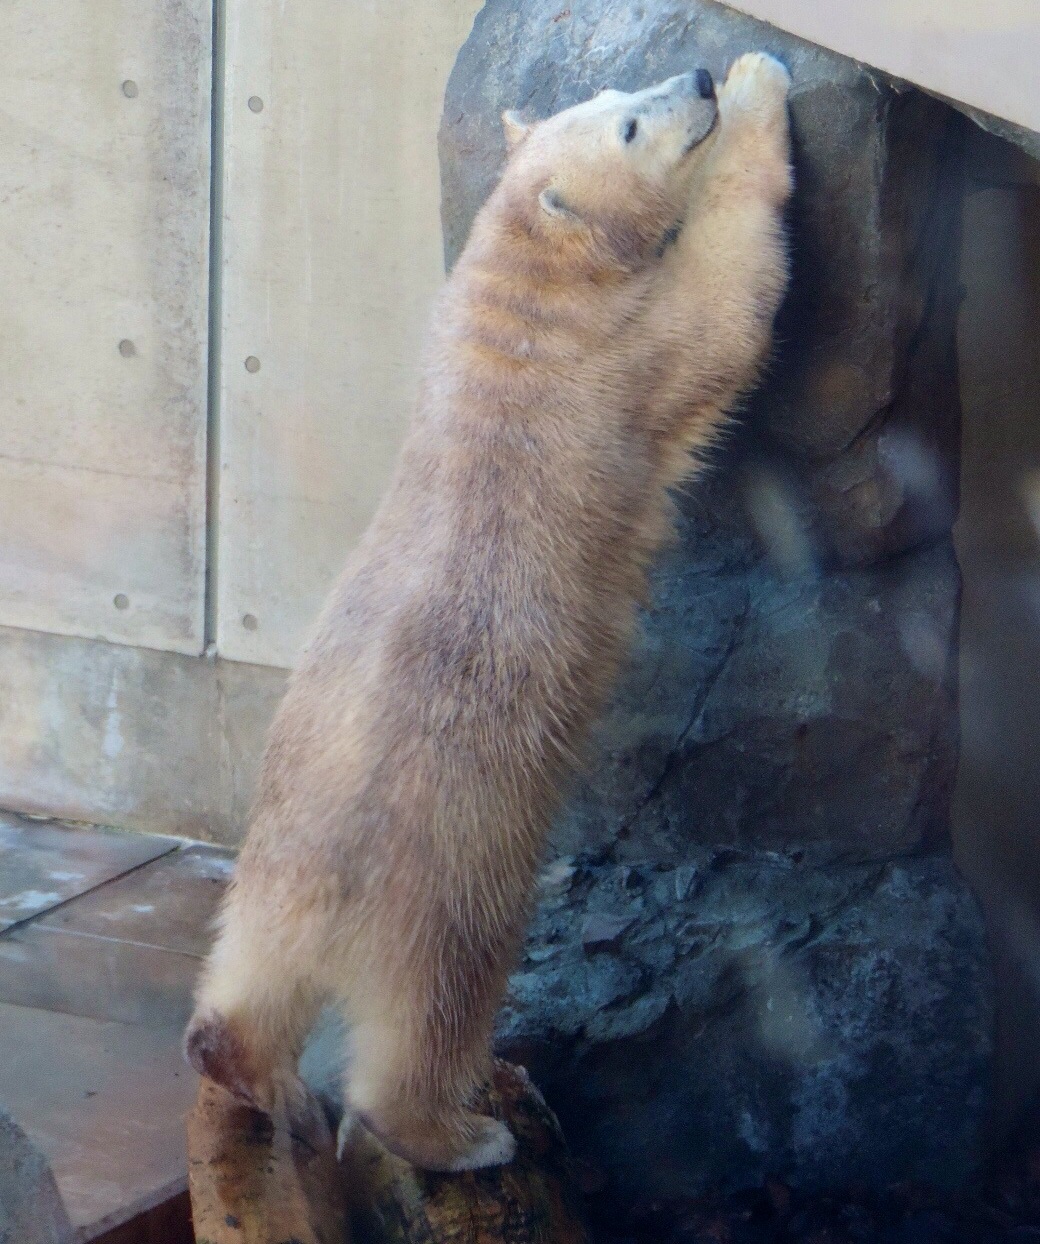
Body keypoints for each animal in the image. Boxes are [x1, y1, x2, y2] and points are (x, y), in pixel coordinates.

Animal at [186, 53, 791, 1169]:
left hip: (271, 854)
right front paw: (755, 84)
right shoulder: (624, 358)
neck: (530, 286)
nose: (692, 74)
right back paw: (465, 1129)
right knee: (437, 1000)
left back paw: (247, 1065)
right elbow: (728, 305)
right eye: (628, 122)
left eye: (620, 91)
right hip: (451, 860)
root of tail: (325, 888)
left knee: (248, 974)